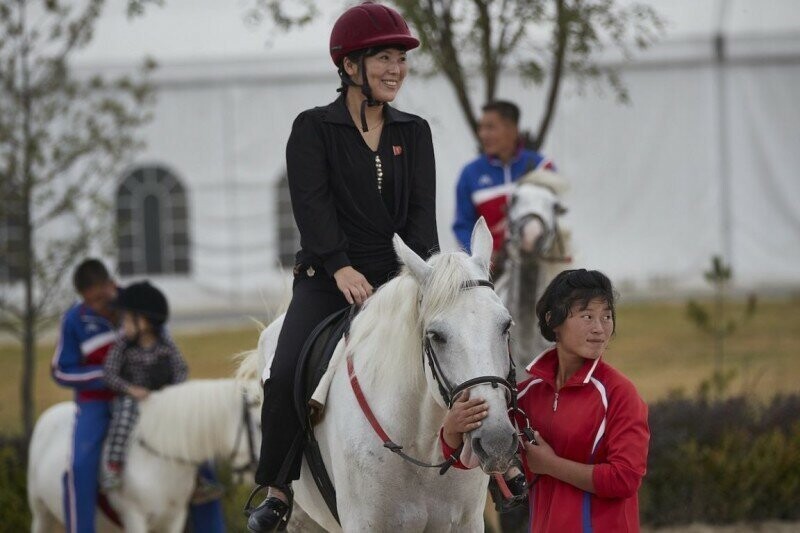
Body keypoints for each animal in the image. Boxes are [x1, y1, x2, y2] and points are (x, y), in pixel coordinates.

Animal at [26, 378, 260, 532]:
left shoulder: (174, 519)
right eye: (259, 424)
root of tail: (48, 415)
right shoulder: (134, 518)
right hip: (41, 514)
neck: (159, 460)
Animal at [247, 217, 520, 532]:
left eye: (506, 325)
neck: (422, 448)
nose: (496, 441)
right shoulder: (363, 523)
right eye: (436, 336)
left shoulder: (466, 523)